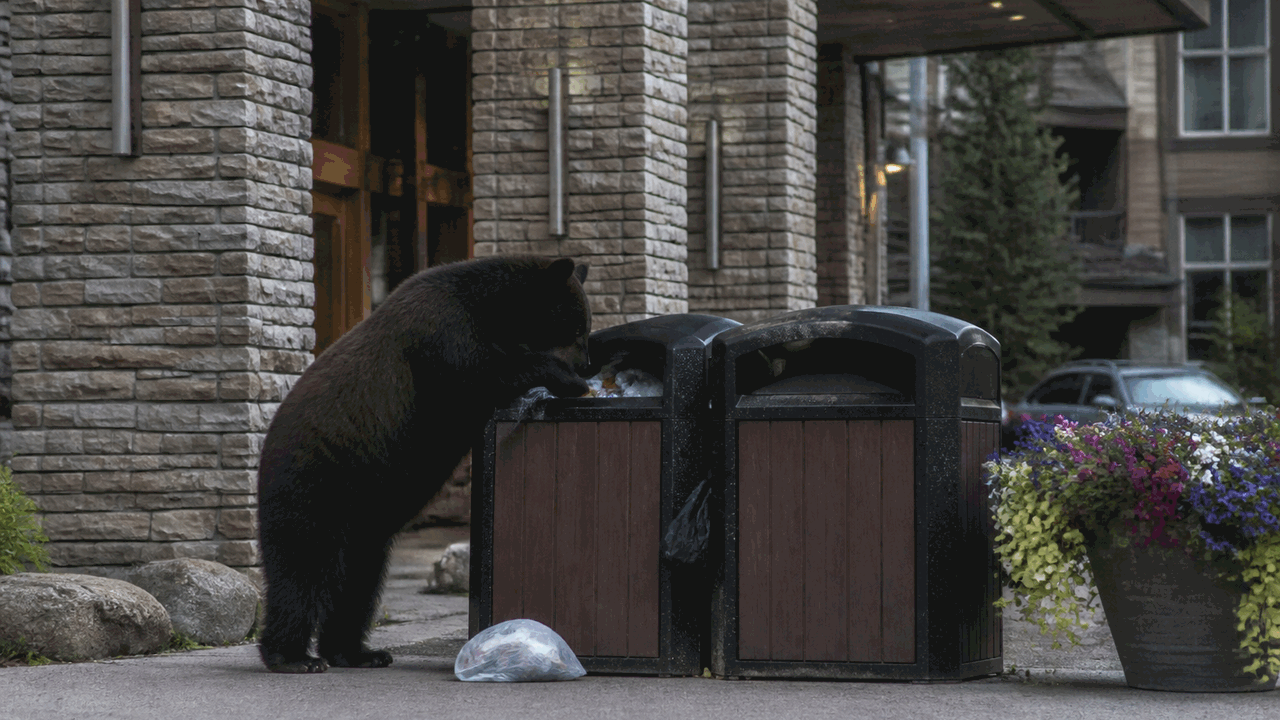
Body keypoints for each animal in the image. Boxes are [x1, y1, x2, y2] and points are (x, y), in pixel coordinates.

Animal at [256, 256, 592, 673]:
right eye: (576, 327)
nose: (587, 364)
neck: (491, 309)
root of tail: (265, 450)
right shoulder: (441, 331)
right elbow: (482, 374)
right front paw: (567, 378)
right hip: (317, 481)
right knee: (302, 566)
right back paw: (293, 656)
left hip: (364, 518)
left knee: (359, 580)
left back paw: (358, 652)